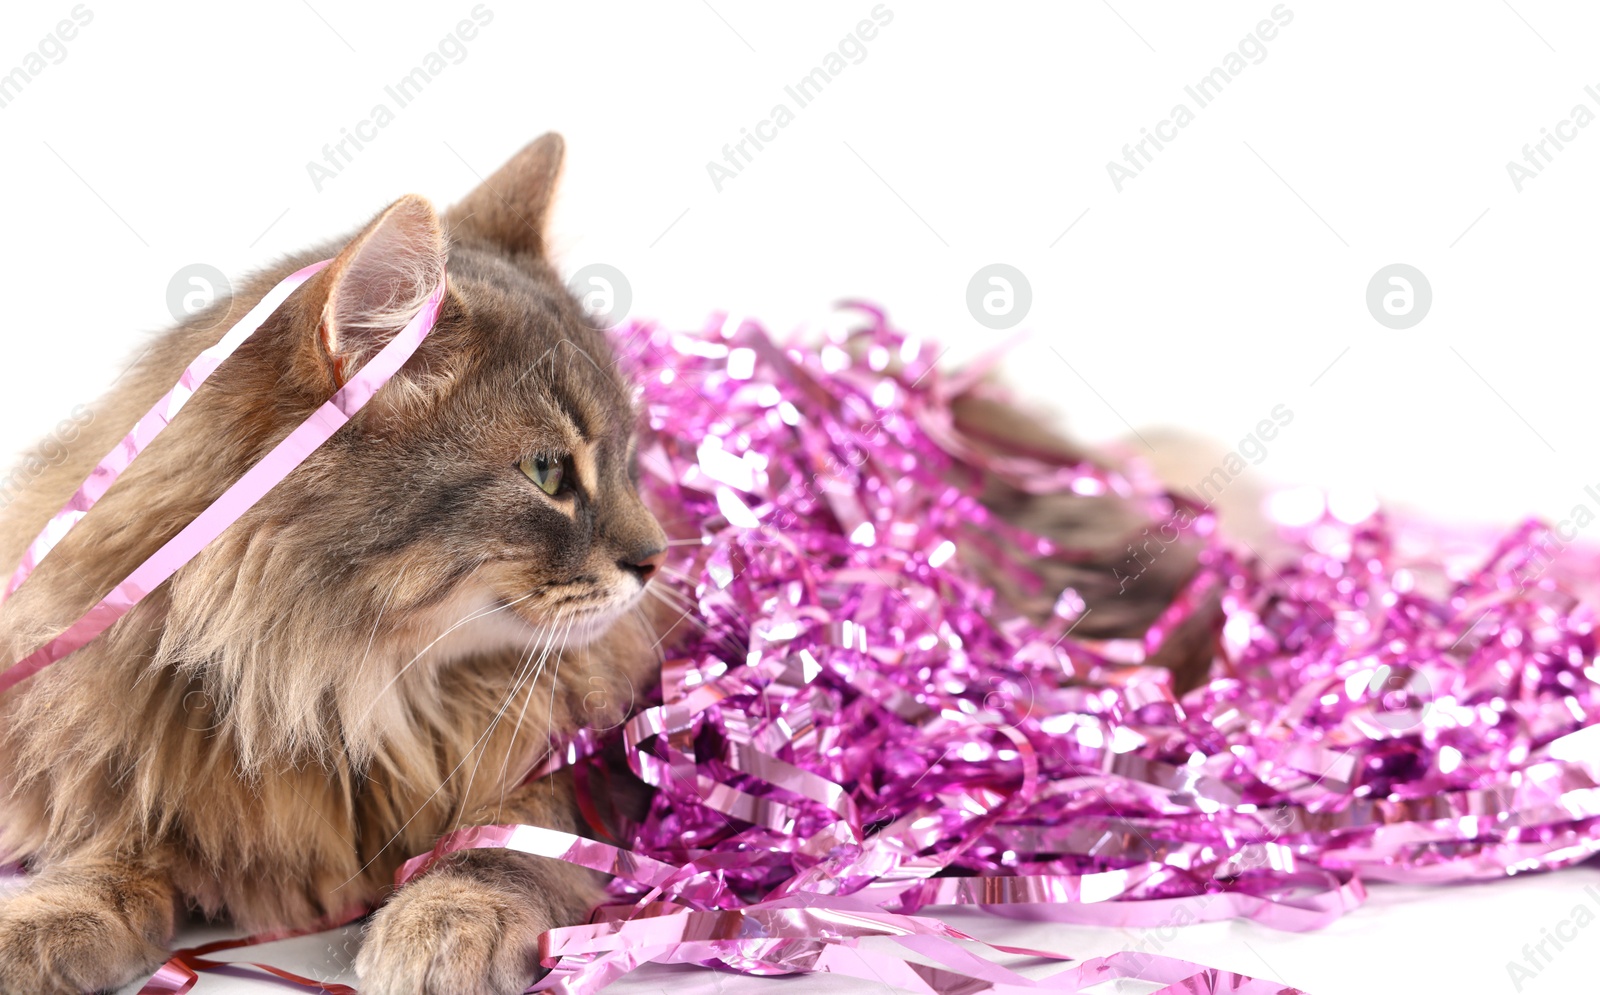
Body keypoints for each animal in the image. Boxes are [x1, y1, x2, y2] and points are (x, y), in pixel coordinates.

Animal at [0, 132, 1203, 995]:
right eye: (547, 471)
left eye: (630, 456)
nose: (656, 557)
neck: (329, 689)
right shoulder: (148, 765)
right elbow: (107, 861)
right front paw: (37, 925)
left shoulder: (581, 777)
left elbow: (496, 855)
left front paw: (437, 927)